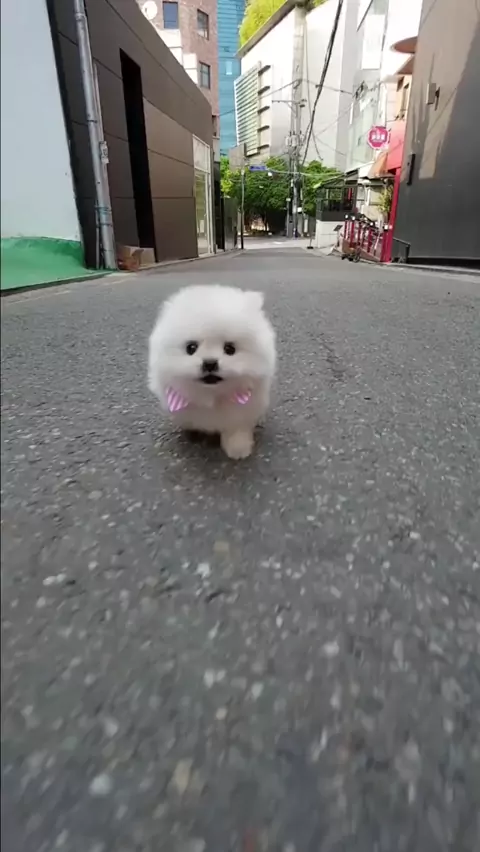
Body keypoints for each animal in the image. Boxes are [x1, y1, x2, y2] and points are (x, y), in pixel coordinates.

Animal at [148, 285, 276, 459]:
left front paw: (238, 449)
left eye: (230, 349)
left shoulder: (241, 412)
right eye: (191, 348)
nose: (209, 363)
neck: (213, 397)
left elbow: (236, 430)